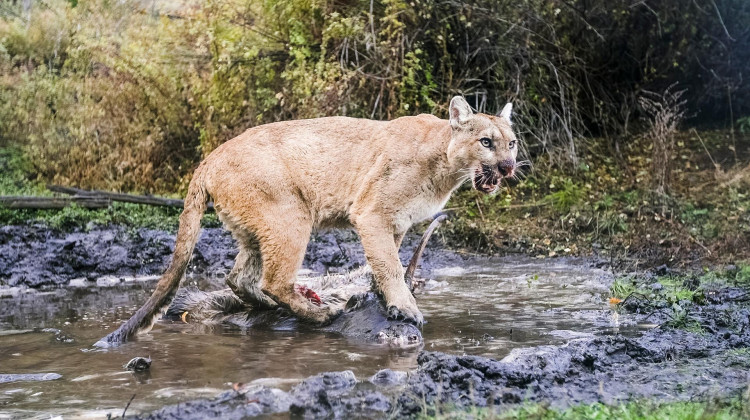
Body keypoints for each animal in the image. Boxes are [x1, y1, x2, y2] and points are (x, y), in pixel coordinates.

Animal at [96, 96, 518, 346]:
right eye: (486, 141)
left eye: (512, 142)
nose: (508, 166)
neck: (445, 165)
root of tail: (210, 157)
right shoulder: (372, 213)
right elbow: (388, 264)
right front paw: (405, 307)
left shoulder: (395, 223)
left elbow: (387, 262)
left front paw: (382, 297)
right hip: (291, 216)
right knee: (274, 280)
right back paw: (319, 312)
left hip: (255, 228)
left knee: (239, 277)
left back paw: (271, 307)